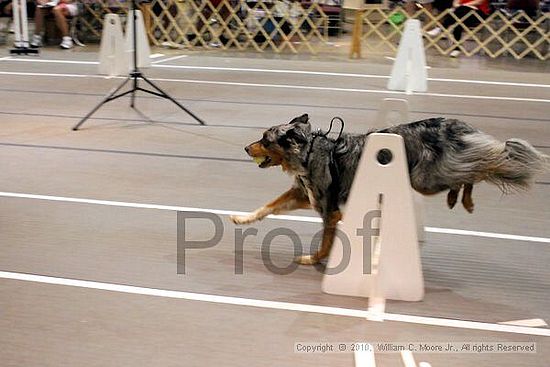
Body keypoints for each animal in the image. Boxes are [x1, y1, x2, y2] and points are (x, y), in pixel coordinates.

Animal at [231, 114, 548, 264]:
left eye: (265, 140)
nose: (245, 147)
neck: (309, 152)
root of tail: (457, 125)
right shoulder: (304, 196)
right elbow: (267, 207)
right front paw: (242, 218)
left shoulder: (329, 211)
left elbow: (324, 245)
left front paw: (313, 260)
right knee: (471, 170)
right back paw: (458, 198)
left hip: (426, 178)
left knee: (482, 166)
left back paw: (465, 198)